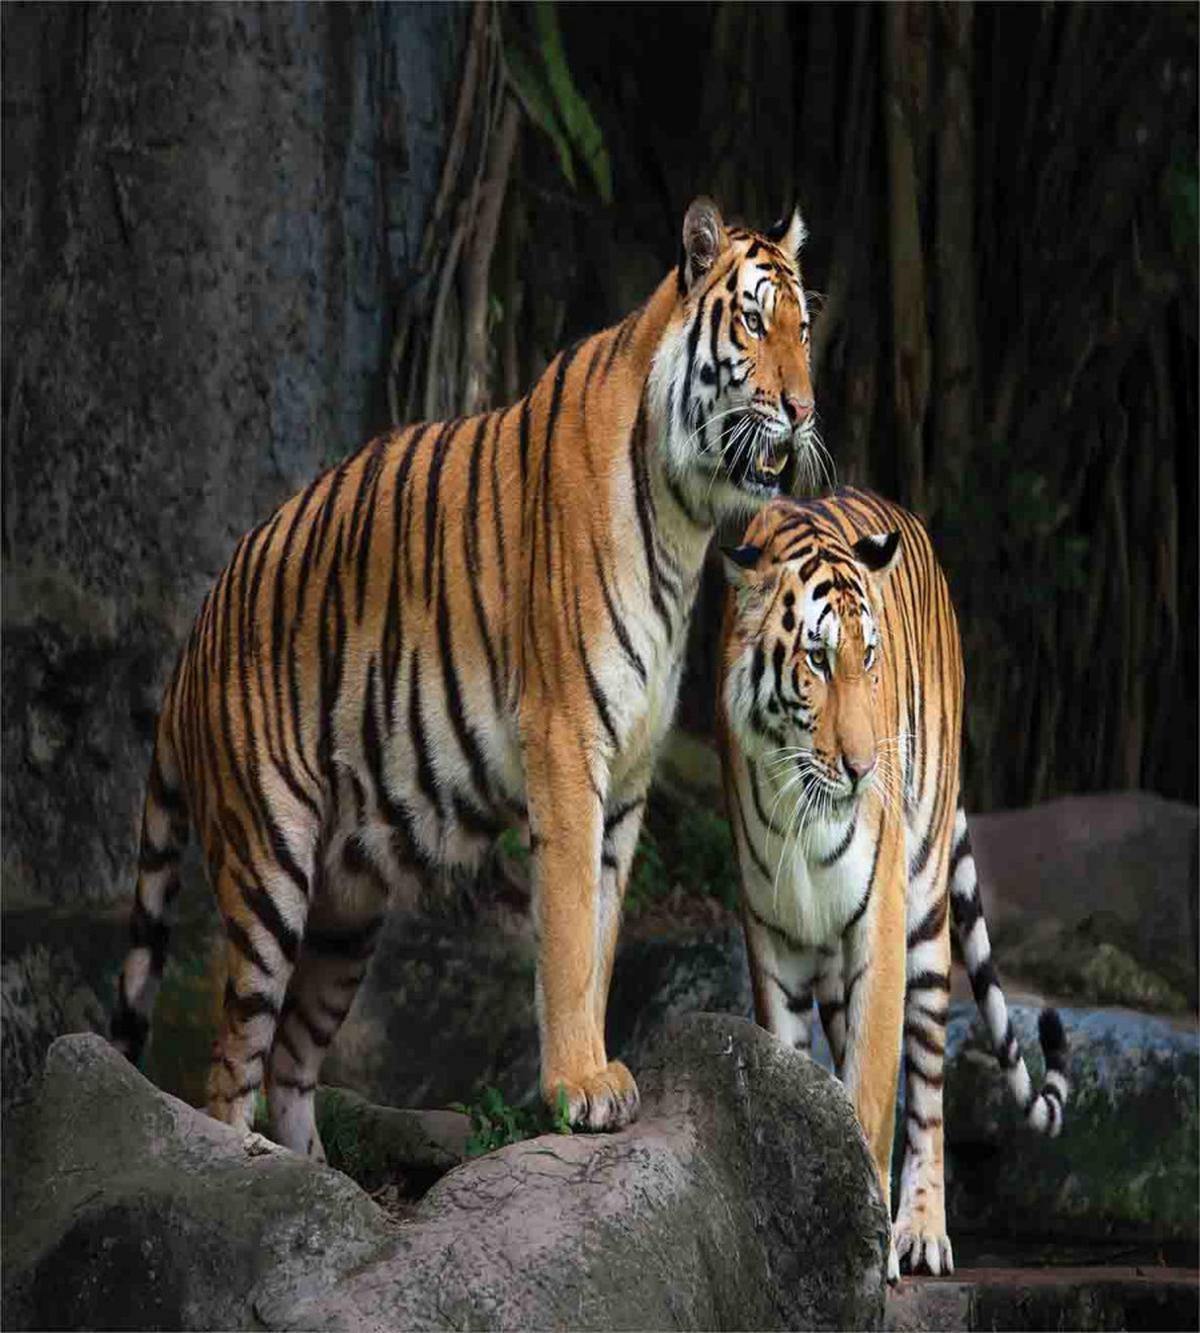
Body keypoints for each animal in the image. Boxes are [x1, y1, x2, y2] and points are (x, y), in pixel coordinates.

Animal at [111, 196, 818, 1155]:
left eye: (803, 328)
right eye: (751, 321)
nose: (804, 408)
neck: (685, 518)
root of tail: (194, 634)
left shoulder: (630, 773)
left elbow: (603, 932)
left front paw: (598, 1069)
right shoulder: (566, 742)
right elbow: (568, 931)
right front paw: (578, 1086)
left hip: (347, 910)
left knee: (292, 1060)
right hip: (267, 864)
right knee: (231, 1063)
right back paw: (240, 1162)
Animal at [717, 487, 1070, 1281]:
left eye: (868, 657)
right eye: (816, 659)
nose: (861, 768)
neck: (800, 800)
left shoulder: (876, 924)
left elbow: (875, 1091)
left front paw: (868, 1242)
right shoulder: (772, 935)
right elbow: (795, 1074)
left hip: (926, 915)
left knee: (928, 1090)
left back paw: (922, 1230)